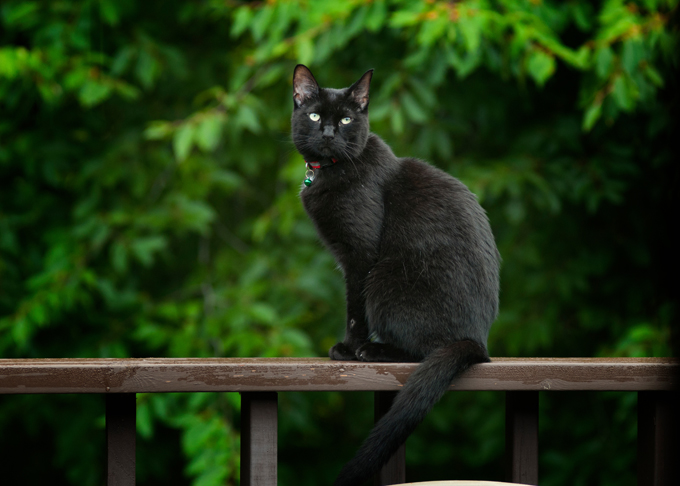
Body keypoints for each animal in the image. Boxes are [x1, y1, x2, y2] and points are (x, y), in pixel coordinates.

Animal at [290, 65, 500, 486]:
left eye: (347, 119)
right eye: (315, 115)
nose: (329, 133)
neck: (330, 172)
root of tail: (478, 341)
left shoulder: (360, 256)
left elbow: (355, 311)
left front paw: (348, 349)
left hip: (386, 280)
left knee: (421, 348)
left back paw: (373, 350)